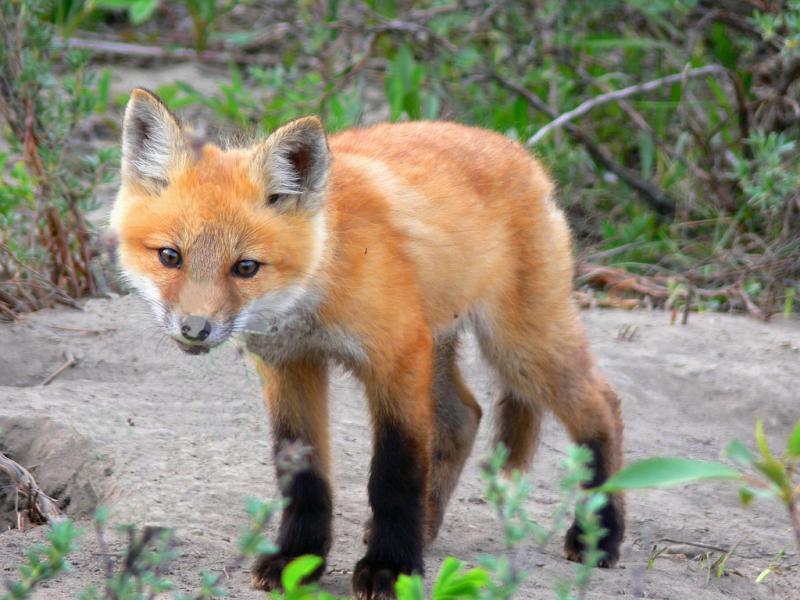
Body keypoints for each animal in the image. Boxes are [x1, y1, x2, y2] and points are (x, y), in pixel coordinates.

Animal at [111, 89, 624, 600]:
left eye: (246, 267)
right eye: (170, 257)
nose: (194, 328)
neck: (321, 283)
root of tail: (522, 153)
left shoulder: (396, 359)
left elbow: (395, 476)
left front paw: (390, 567)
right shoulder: (290, 366)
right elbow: (304, 479)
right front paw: (298, 559)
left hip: (518, 349)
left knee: (603, 407)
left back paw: (600, 532)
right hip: (446, 347)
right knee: (465, 417)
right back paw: (429, 525)